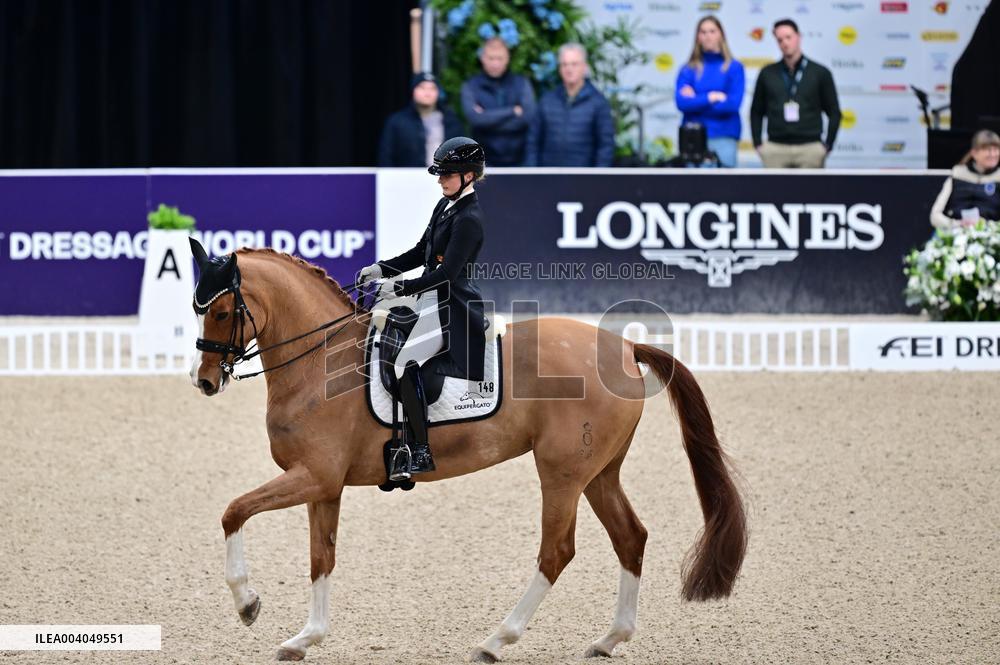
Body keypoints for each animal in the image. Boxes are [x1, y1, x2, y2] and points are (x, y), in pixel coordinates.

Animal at [188, 242, 747, 662]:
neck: (321, 362)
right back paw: (610, 639)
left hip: (563, 473)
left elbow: (232, 511)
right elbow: (320, 557)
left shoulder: (313, 476)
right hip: (599, 473)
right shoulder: (324, 485)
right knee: (630, 537)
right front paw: (306, 638)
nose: (204, 381)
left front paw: (248, 604)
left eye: (222, 311)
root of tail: (625, 348)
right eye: (197, 309)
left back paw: (496, 640)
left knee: (557, 550)